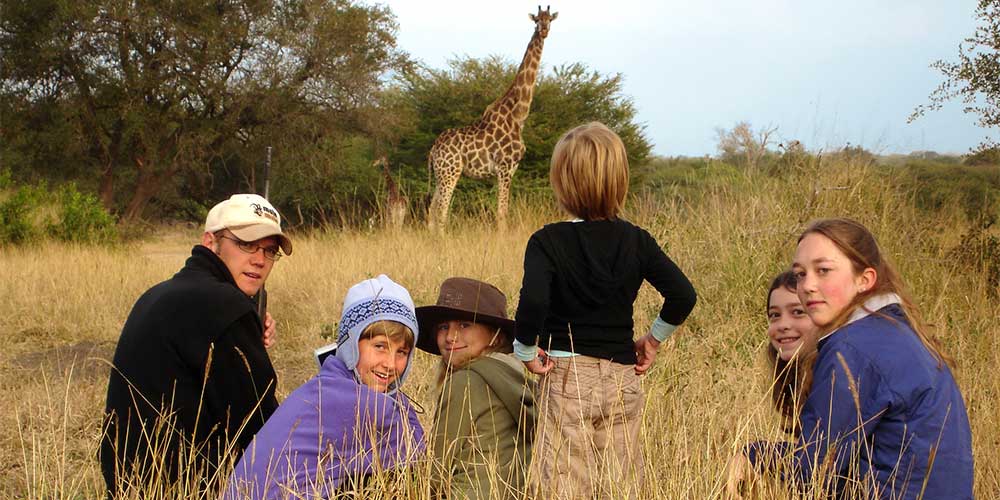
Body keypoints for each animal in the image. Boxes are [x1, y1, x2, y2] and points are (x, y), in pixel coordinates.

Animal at [426, 5, 560, 230]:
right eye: (536, 20)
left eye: (550, 19)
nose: (543, 30)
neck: (518, 116)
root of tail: (434, 149)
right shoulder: (505, 167)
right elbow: (502, 214)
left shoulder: (510, 169)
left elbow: (502, 211)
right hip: (450, 171)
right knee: (442, 210)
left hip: (440, 174)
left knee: (432, 209)